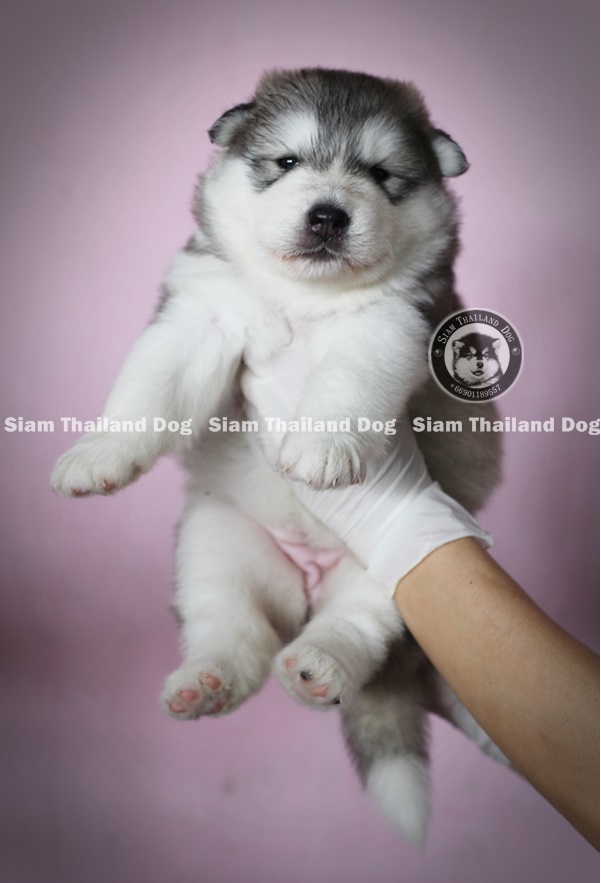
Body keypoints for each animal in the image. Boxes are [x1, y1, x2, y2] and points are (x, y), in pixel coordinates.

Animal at [51, 68, 504, 845]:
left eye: (381, 175)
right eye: (286, 162)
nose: (327, 216)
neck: (303, 298)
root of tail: (306, 584)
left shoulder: (392, 324)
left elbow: (347, 379)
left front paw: (323, 446)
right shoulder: (199, 311)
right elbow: (149, 383)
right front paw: (99, 452)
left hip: (400, 573)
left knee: (354, 628)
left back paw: (319, 664)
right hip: (214, 541)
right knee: (232, 631)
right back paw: (205, 681)